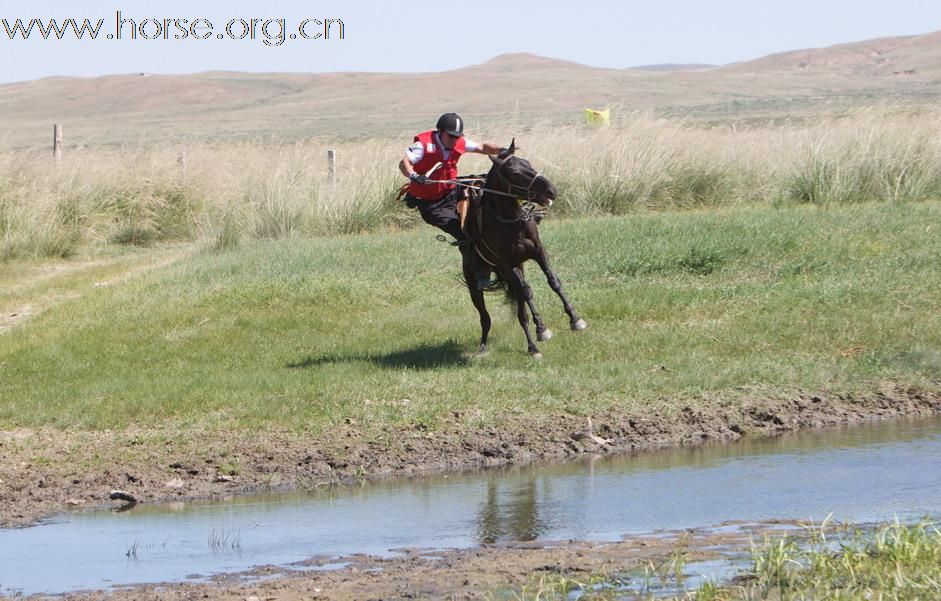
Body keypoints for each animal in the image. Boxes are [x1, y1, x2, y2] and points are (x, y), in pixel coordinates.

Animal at [458, 141, 584, 356]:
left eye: (529, 163)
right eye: (515, 173)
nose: (552, 191)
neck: (513, 223)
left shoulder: (538, 252)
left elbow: (554, 282)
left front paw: (575, 319)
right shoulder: (508, 264)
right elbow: (527, 293)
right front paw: (540, 332)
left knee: (521, 304)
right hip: (476, 285)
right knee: (486, 316)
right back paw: (486, 346)